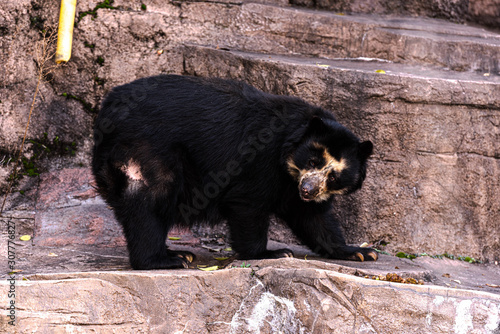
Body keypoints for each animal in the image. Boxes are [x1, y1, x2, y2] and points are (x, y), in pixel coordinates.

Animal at [92, 73, 376, 268]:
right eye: (313, 161)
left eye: (334, 176)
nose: (308, 190)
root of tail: (108, 109)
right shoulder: (260, 159)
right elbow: (248, 203)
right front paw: (271, 252)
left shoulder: (293, 186)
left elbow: (312, 217)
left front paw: (359, 251)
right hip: (147, 147)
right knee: (151, 198)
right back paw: (164, 259)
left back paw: (176, 253)